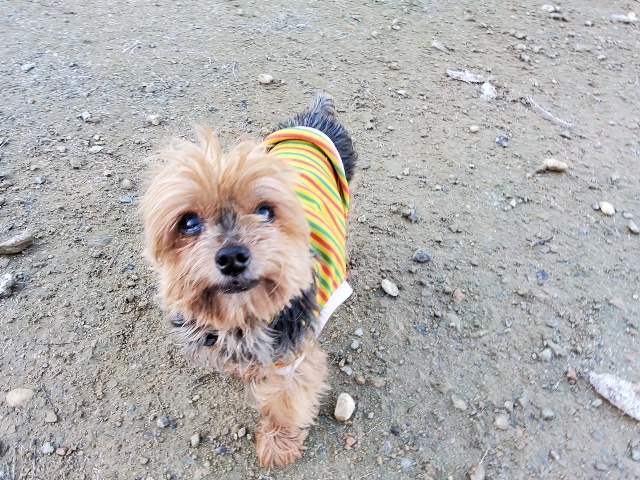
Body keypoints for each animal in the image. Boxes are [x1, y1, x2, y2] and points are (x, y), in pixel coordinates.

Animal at [140, 94, 357, 467]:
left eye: (265, 211)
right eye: (187, 223)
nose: (231, 257)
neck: (243, 314)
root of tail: (315, 115)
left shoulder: (293, 355)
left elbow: (286, 399)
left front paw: (278, 443)